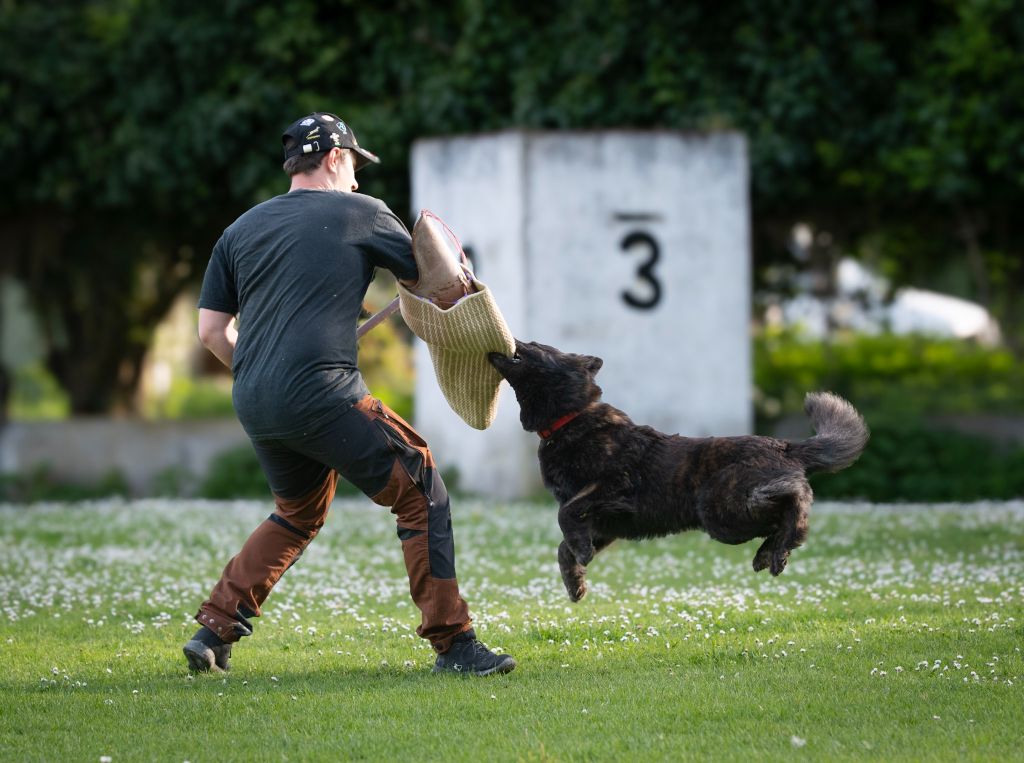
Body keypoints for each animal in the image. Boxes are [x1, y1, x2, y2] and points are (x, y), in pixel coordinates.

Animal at [487, 340, 864, 602]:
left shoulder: (611, 486)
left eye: (537, 345)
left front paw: (579, 557)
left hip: (721, 511)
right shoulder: (604, 524)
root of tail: (784, 445)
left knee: (792, 503)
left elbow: (565, 515)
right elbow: (564, 545)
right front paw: (575, 580)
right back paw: (769, 553)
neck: (571, 418)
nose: (510, 339)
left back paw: (781, 544)